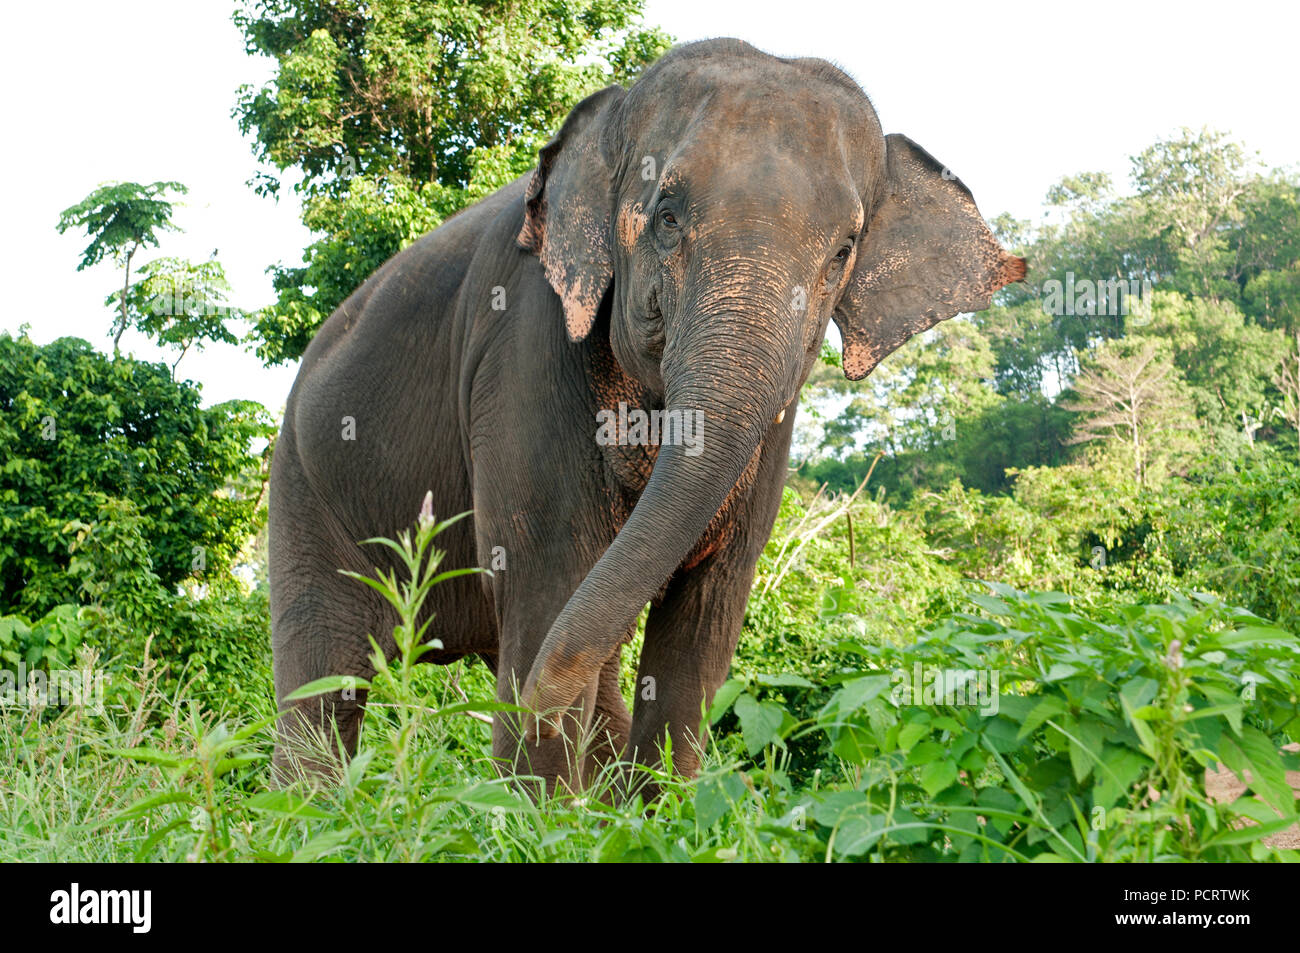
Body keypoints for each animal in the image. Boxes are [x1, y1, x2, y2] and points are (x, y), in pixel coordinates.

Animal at [268, 37, 1025, 793]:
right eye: (666, 216)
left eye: (843, 251)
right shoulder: (526, 346)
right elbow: (549, 576)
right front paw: (537, 804)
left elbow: (708, 613)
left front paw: (653, 805)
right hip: (302, 482)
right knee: (325, 680)